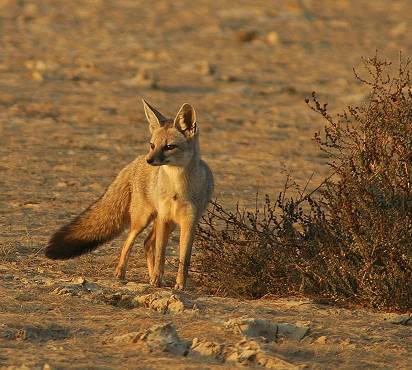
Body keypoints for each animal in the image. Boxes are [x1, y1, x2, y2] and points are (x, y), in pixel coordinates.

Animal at [45, 99, 214, 290]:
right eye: (152, 145)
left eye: (169, 147)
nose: (150, 160)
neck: (178, 189)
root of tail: (135, 161)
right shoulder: (164, 218)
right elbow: (160, 255)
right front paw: (157, 279)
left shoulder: (189, 223)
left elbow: (184, 259)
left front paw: (179, 285)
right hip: (143, 219)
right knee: (130, 241)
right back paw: (121, 272)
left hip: (164, 223)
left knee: (147, 244)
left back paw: (150, 277)